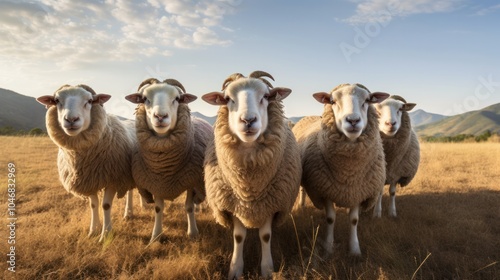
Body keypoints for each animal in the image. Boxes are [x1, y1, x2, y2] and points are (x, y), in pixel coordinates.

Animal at [36, 84, 137, 242]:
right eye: (57, 100)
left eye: (89, 101)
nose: (71, 119)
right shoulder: (89, 180)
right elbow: (93, 205)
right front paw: (93, 231)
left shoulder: (113, 179)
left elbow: (106, 205)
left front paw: (105, 235)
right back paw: (128, 213)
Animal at [292, 83, 390, 256]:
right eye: (333, 101)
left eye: (367, 100)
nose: (353, 120)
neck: (348, 174)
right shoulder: (325, 190)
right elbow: (330, 218)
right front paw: (328, 247)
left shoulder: (358, 191)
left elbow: (354, 220)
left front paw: (354, 249)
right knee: (303, 189)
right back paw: (301, 205)